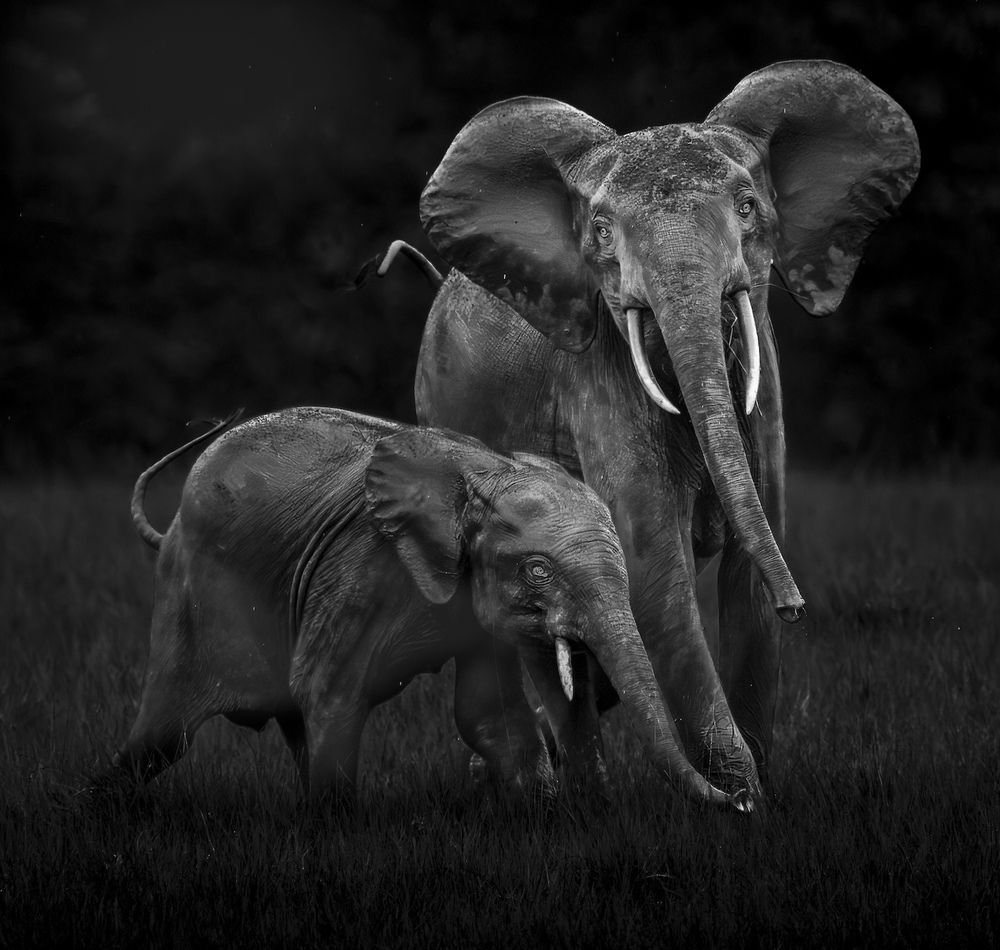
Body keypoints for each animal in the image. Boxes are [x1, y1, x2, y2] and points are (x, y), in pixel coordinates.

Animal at [113, 406, 748, 808]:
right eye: (538, 571)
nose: (739, 801)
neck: (485, 472)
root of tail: (170, 526)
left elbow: (487, 712)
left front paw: (548, 814)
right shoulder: (363, 569)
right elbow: (328, 689)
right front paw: (334, 829)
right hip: (190, 589)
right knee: (163, 736)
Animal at [413, 60, 920, 797]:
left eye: (747, 207)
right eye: (600, 231)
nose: (800, 605)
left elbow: (750, 566)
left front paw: (756, 796)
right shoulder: (597, 370)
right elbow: (657, 565)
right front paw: (739, 799)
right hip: (445, 406)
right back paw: (544, 788)